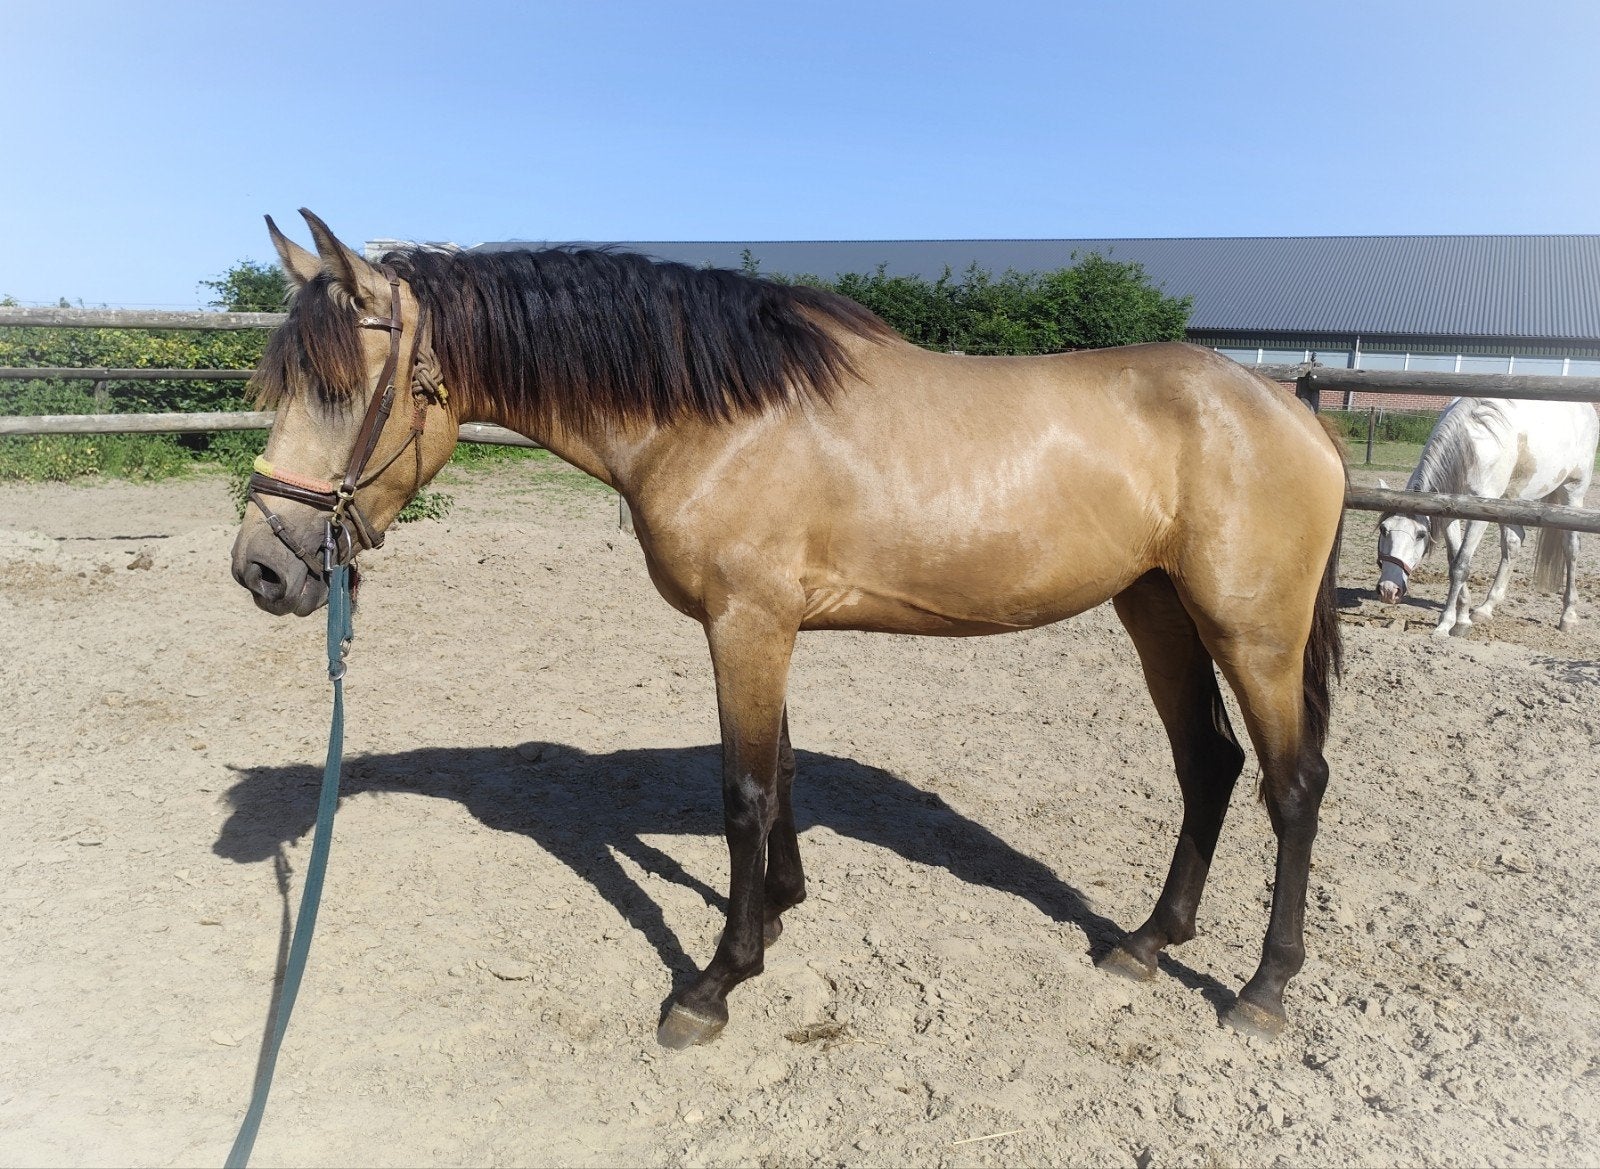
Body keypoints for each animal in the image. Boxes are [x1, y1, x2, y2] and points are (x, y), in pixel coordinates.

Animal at [231, 210, 1347, 1047]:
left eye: (341, 389)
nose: (262, 567)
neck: (714, 413)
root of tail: (1289, 405)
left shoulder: (746, 622)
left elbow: (745, 789)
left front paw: (716, 979)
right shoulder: (766, 626)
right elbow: (782, 769)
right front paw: (776, 910)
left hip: (1250, 628)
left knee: (1292, 785)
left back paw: (1262, 989)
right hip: (1157, 608)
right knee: (1207, 763)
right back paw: (1149, 941)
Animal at [1374, 396, 1598, 637]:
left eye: (1421, 535)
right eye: (1384, 529)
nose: (1389, 590)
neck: (1471, 447)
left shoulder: (1478, 516)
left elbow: (1461, 565)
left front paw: (1446, 623)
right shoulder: (1448, 513)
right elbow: (1454, 560)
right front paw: (1463, 617)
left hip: (1573, 492)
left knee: (1571, 549)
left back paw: (1568, 616)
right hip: (1509, 501)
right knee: (1513, 543)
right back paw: (1485, 609)